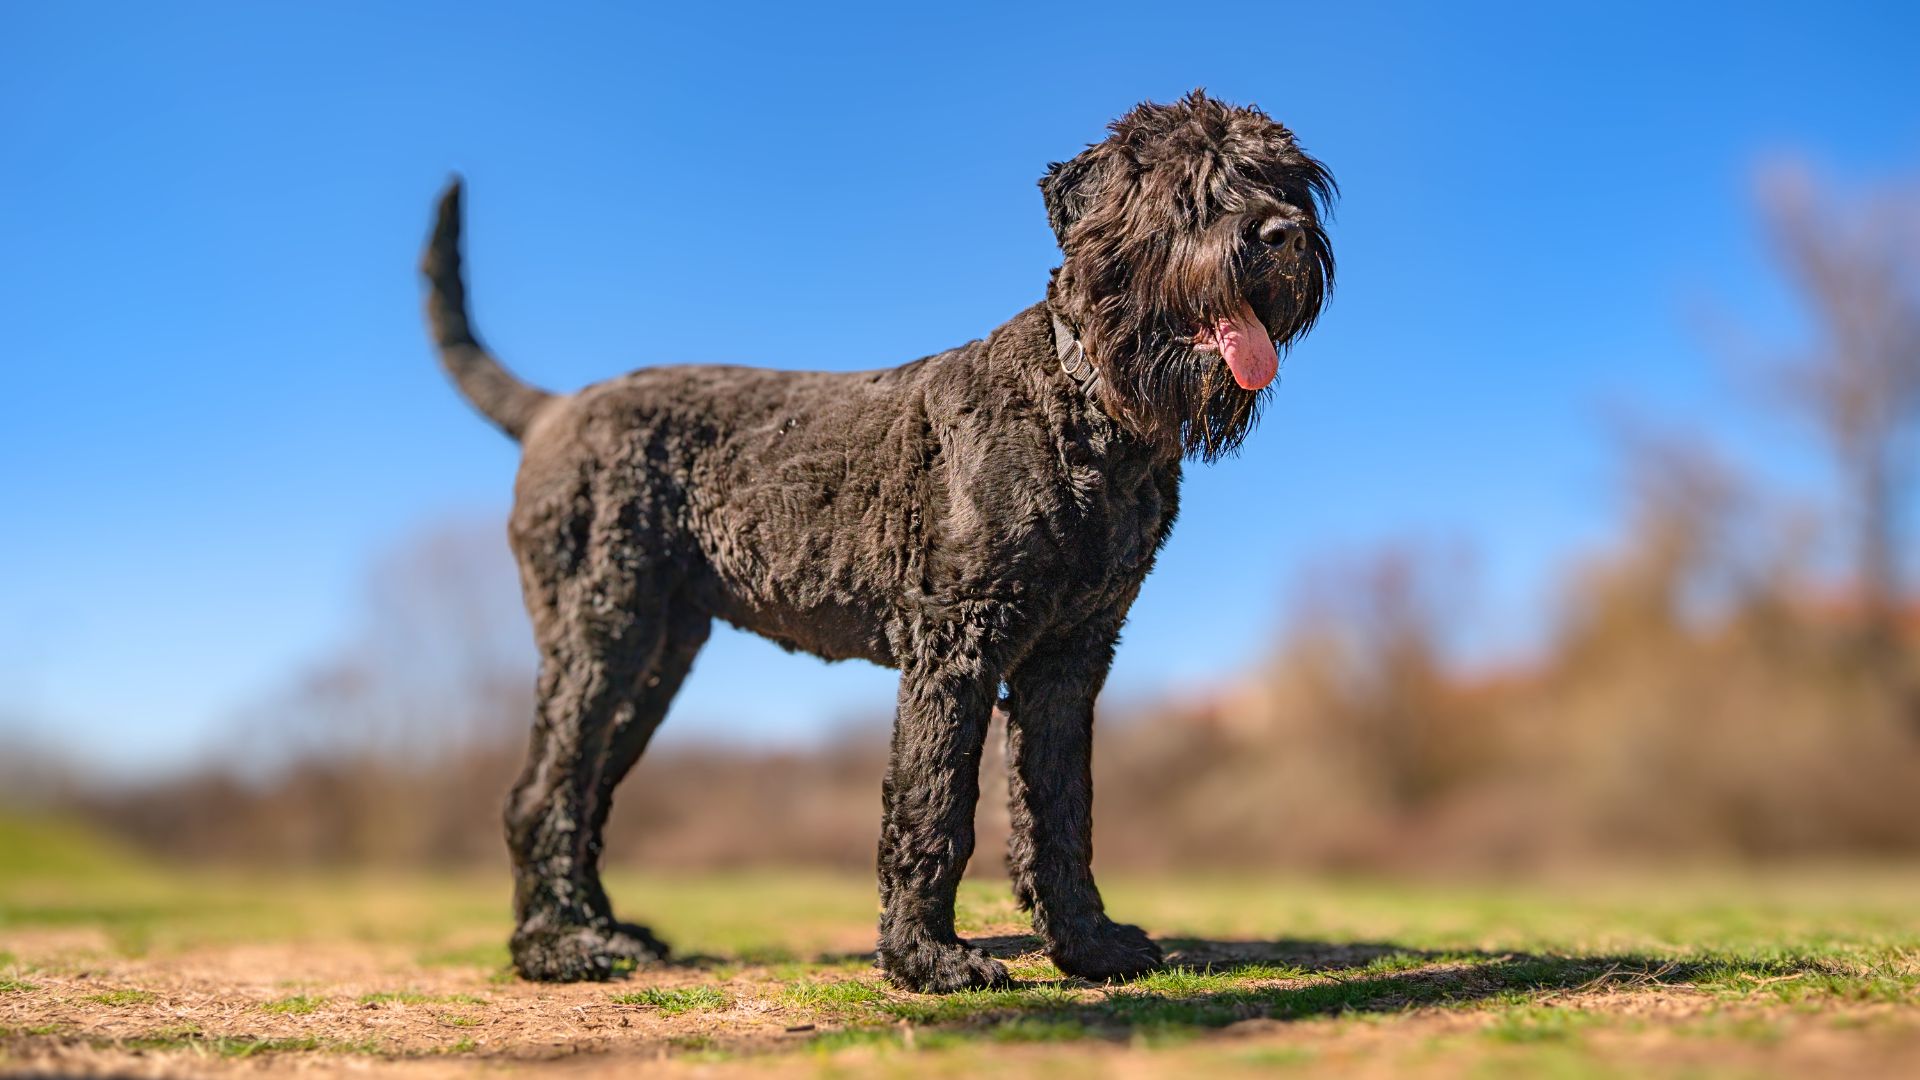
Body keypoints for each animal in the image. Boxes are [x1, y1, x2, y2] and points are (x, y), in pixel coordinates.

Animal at [416, 88, 1336, 991]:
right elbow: (935, 804)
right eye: (1189, 186)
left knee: (588, 793)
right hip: (599, 635)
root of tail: (554, 411)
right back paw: (554, 948)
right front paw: (928, 959)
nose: (1283, 234)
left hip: (656, 657)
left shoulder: (1072, 656)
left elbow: (1061, 808)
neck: (1084, 405)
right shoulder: (957, 641)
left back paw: (607, 931)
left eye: (1285, 179)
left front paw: (1089, 945)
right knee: (541, 792)